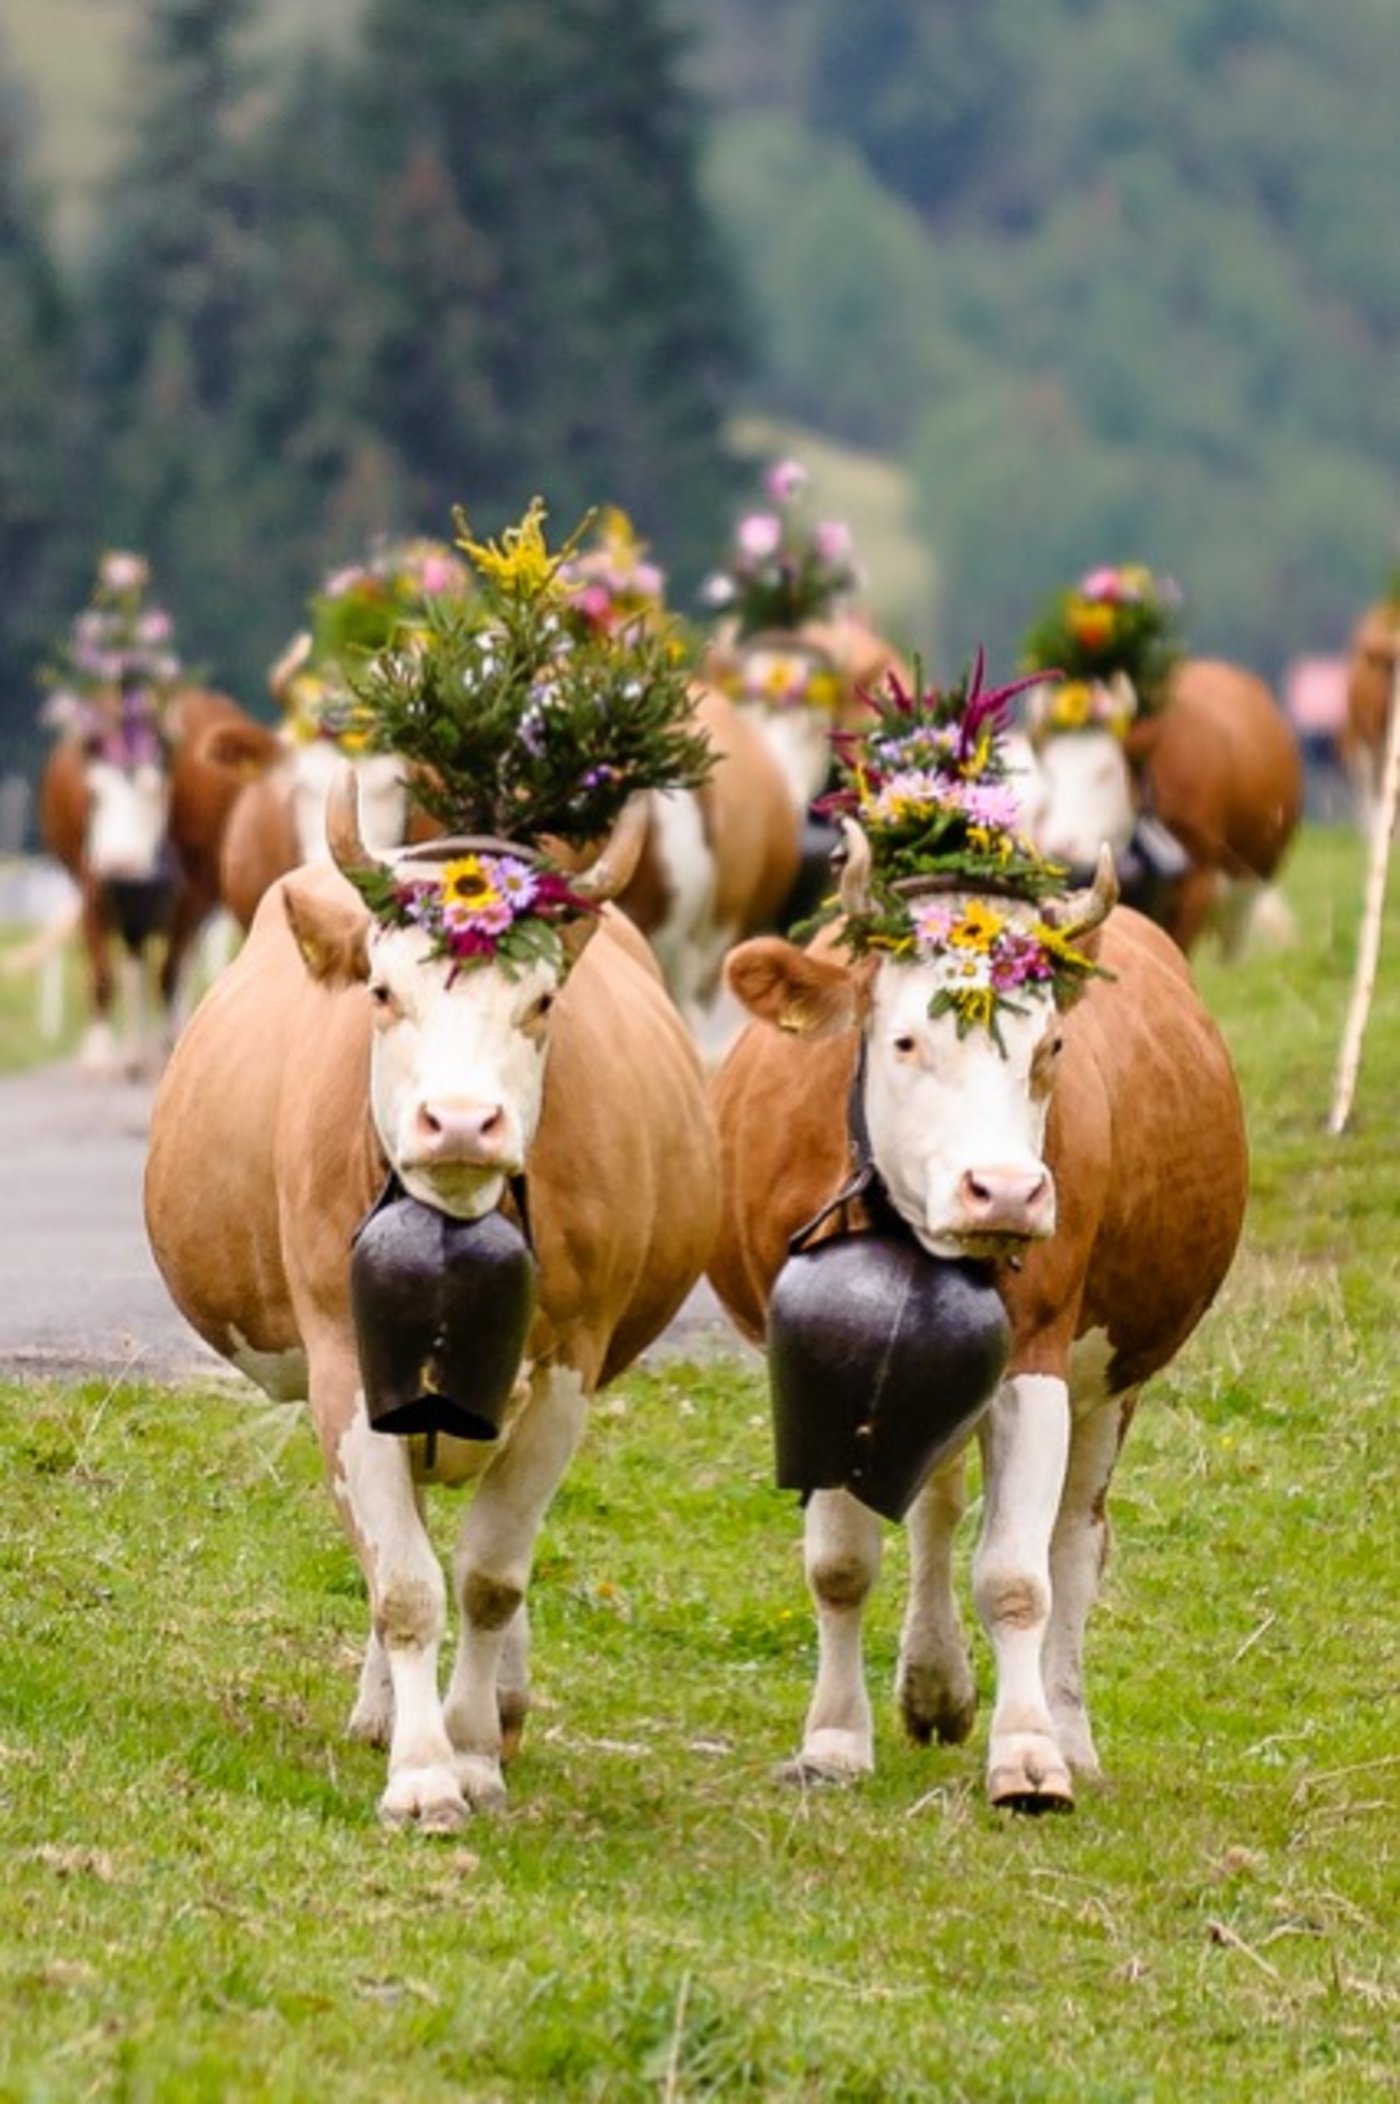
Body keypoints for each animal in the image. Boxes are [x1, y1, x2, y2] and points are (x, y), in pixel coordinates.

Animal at [39, 686, 281, 1074]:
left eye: (153, 789)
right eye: (94, 792)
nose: (121, 860)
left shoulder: (196, 891)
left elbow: (170, 970)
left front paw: (173, 1042)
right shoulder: (91, 880)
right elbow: (102, 971)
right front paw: (99, 1053)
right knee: (134, 964)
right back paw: (134, 1053)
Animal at [144, 779, 721, 1831]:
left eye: (542, 1003)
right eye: (382, 993)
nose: (457, 1122)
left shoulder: (569, 1371)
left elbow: (490, 1577)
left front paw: (475, 1751)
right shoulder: (345, 1365)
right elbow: (404, 1582)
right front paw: (420, 1770)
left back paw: (499, 1705)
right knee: (397, 1539)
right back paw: (387, 1709)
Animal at [707, 831, 1247, 1811]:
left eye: (1051, 1044)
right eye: (905, 1038)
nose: (1005, 1191)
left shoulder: (1038, 1357)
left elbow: (1018, 1577)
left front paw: (1030, 1756)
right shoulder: (815, 1363)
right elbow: (841, 1563)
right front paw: (834, 1738)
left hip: (1112, 1383)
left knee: (1075, 1545)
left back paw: (1068, 1733)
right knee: (936, 1504)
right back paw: (932, 1685)